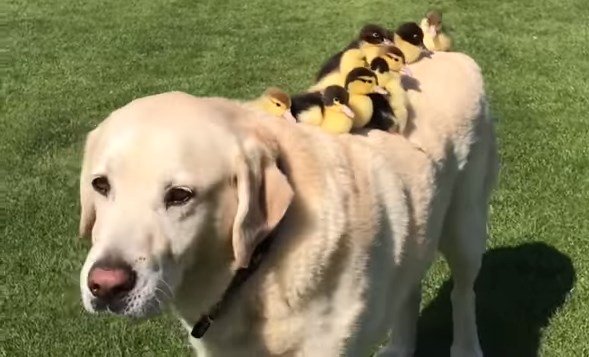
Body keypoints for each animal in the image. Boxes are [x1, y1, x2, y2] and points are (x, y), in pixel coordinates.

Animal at [78, 51, 496, 354]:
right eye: (101, 185)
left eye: (180, 195)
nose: (106, 286)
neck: (259, 266)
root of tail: (451, 54)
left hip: (465, 229)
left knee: (464, 292)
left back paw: (466, 347)